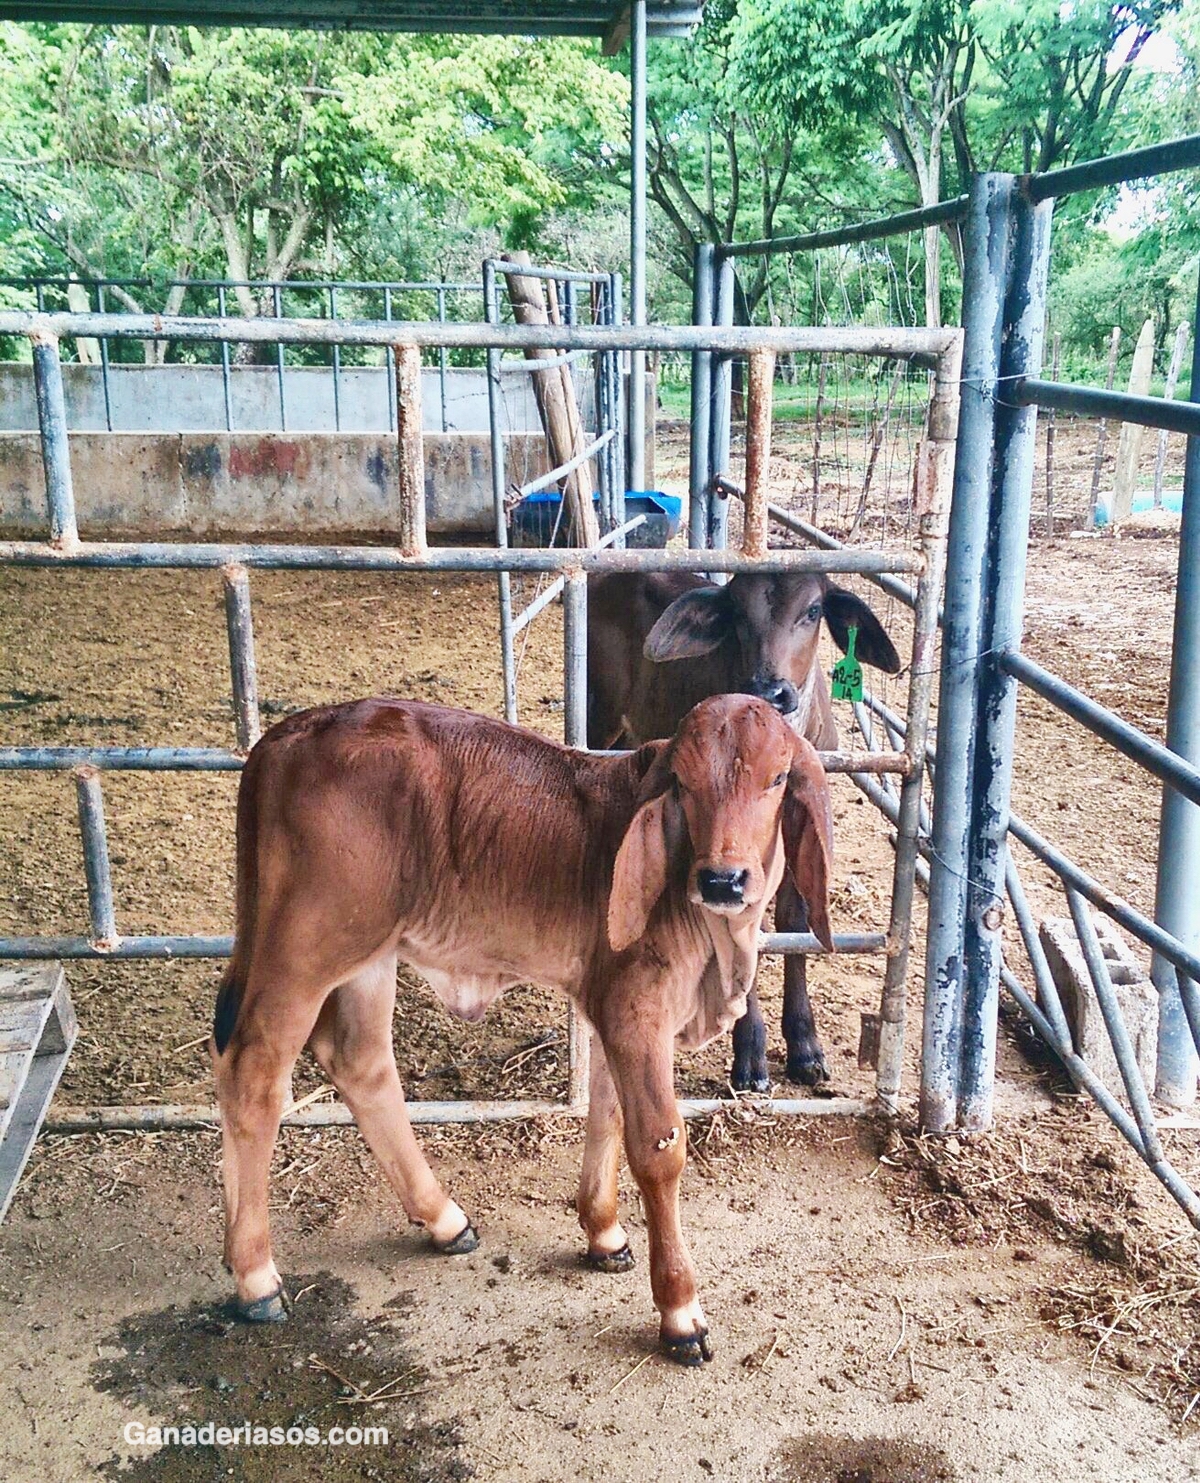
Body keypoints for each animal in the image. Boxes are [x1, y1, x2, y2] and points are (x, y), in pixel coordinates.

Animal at [210, 694, 830, 1364]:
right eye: (685, 783)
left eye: (777, 778)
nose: (722, 880)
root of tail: (286, 737)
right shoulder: (635, 1008)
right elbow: (658, 1148)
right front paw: (681, 1312)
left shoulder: (613, 1006)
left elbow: (607, 1113)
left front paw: (604, 1232)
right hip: (304, 947)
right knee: (252, 1068)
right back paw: (255, 1278)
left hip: (369, 953)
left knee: (359, 1059)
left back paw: (444, 1219)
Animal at [584, 572, 901, 1097]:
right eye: (735, 611)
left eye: (813, 610)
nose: (771, 690)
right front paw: (750, 1052)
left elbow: (794, 920)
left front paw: (806, 1045)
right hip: (601, 721)